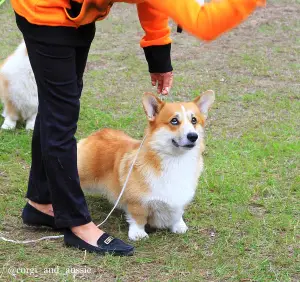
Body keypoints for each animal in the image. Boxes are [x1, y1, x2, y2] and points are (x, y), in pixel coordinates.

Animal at [76, 90, 214, 240]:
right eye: (174, 120)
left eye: (194, 120)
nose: (193, 136)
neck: (175, 159)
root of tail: (98, 134)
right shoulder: (137, 201)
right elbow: (138, 218)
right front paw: (138, 234)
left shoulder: (179, 198)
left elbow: (177, 214)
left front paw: (179, 226)